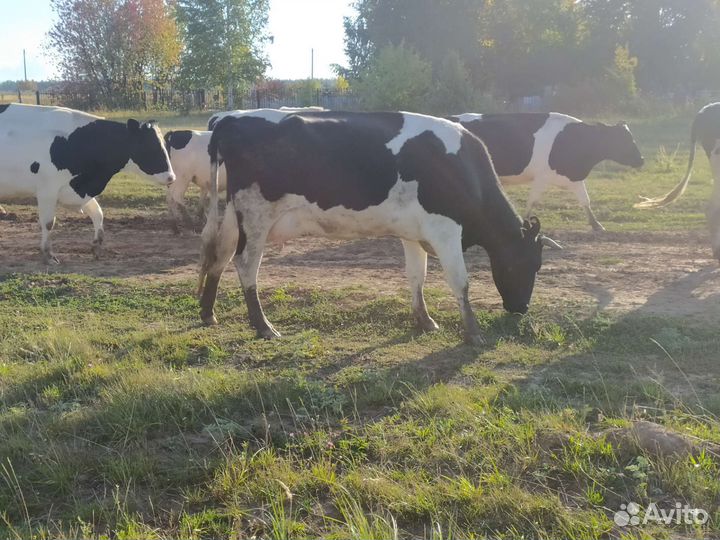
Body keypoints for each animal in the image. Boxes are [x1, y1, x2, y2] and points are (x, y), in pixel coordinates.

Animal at [0, 103, 175, 263]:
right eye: (150, 147)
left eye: (166, 146)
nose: (171, 178)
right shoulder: (47, 189)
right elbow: (48, 223)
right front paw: (48, 254)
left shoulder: (78, 189)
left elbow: (98, 213)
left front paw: (97, 246)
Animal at [197, 111, 561, 345]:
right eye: (530, 264)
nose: (521, 308)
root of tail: (231, 119)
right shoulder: (445, 229)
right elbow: (461, 281)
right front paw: (473, 333)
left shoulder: (414, 233)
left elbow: (417, 276)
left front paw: (424, 320)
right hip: (256, 215)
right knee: (246, 265)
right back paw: (263, 327)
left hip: (234, 216)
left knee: (219, 255)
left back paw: (207, 313)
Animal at [449, 113, 645, 231]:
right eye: (624, 140)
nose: (642, 159)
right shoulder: (542, 177)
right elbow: (532, 201)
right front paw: (525, 222)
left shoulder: (574, 178)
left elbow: (585, 200)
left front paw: (596, 225)